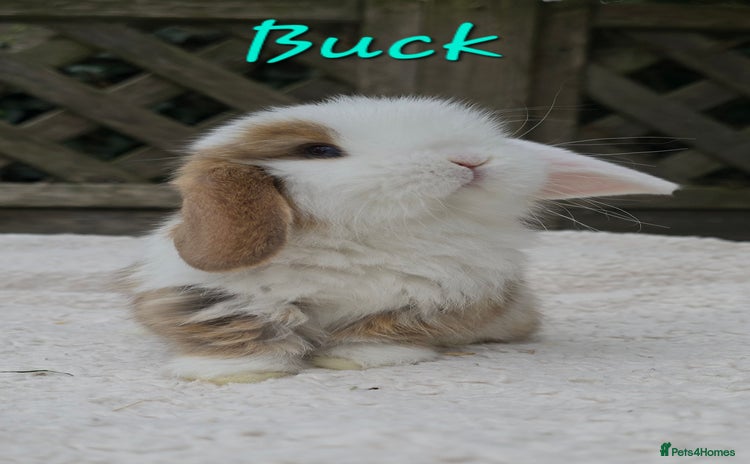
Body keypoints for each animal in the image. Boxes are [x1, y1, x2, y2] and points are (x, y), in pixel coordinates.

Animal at [123, 96, 677, 383]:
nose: (469, 159)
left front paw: (352, 361)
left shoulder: (436, 300)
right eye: (320, 151)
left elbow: (379, 330)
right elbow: (242, 331)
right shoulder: (211, 297)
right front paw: (225, 373)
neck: (365, 243)